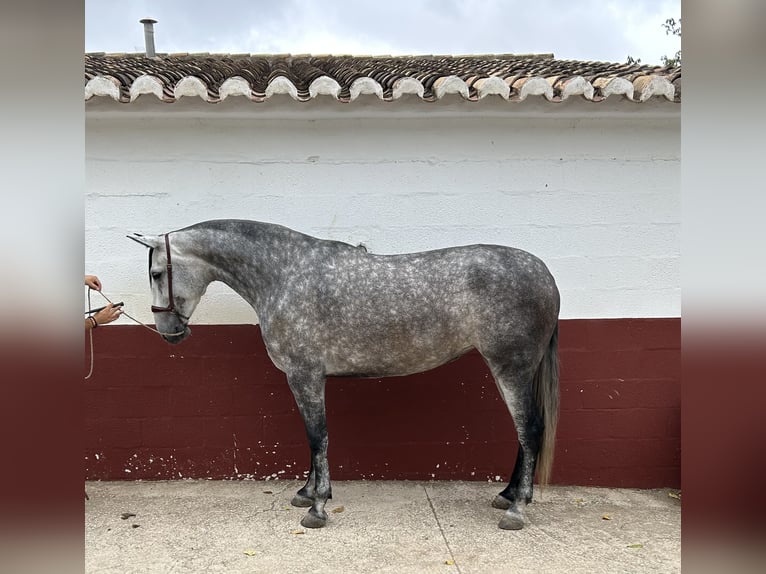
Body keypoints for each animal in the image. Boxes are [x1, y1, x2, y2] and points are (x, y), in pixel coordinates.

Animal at [129, 219, 560, 532]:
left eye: (157, 273)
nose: (169, 332)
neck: (284, 275)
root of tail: (544, 273)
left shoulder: (304, 375)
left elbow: (316, 436)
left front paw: (317, 507)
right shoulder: (307, 377)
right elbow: (313, 440)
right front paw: (307, 492)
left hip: (511, 367)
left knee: (530, 429)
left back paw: (517, 509)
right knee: (525, 432)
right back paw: (507, 495)